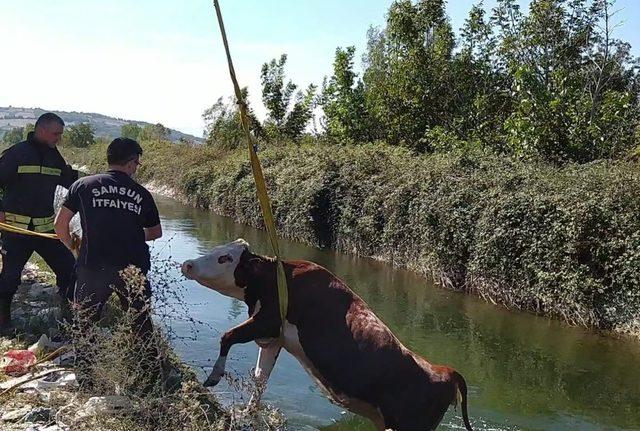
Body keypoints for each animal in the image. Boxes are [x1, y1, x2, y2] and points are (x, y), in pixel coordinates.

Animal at [182, 240, 472, 431]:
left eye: (225, 258)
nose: (187, 264)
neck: (277, 278)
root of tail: (445, 371)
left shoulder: (268, 322)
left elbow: (227, 336)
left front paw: (214, 376)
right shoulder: (274, 337)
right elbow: (261, 377)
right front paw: (248, 413)